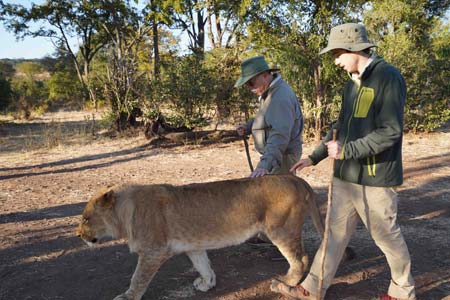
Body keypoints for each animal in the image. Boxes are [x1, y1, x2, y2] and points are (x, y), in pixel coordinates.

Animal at [76, 175, 334, 298]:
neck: (125, 213)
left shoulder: (153, 251)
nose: (78, 235)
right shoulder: (193, 245)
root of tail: (295, 178)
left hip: (281, 229)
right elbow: (203, 265)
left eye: (87, 219)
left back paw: (286, 282)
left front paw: (127, 297)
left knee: (301, 259)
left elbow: (137, 278)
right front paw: (207, 283)